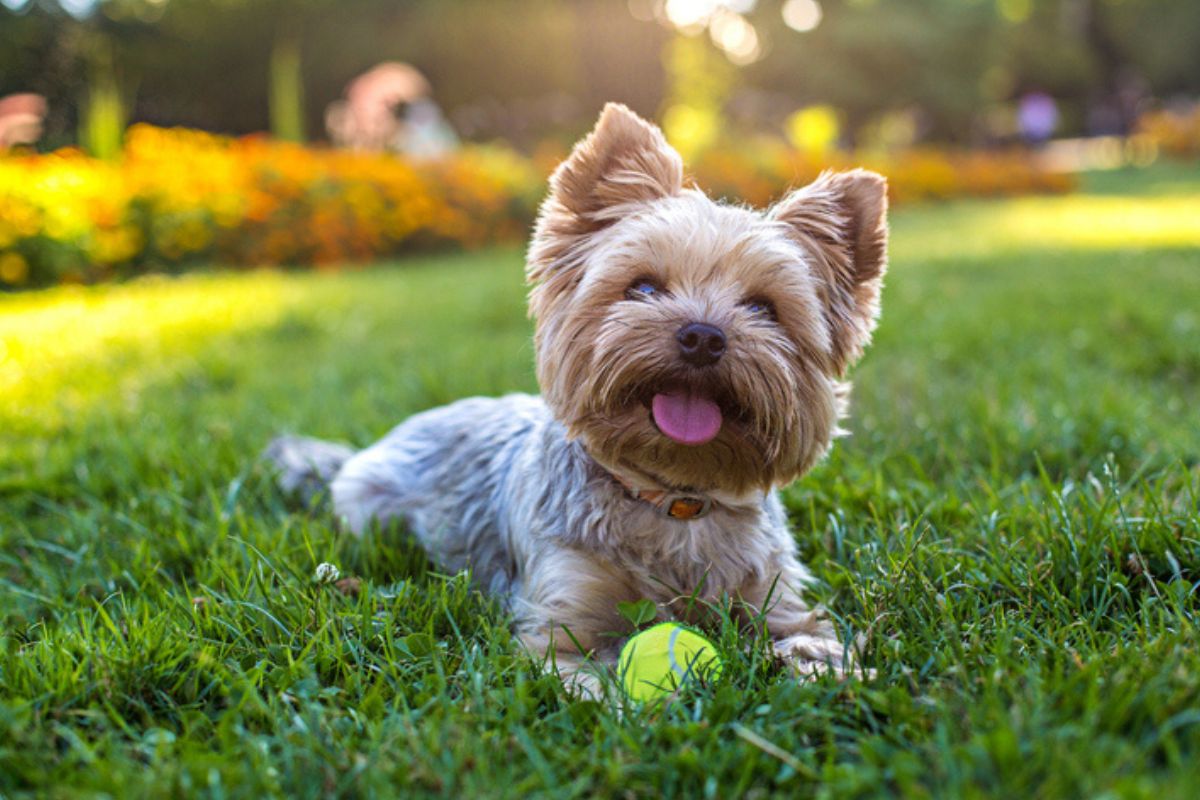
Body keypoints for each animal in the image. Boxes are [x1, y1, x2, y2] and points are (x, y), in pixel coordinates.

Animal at [267, 104, 888, 695]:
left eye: (763, 308)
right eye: (643, 287)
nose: (703, 336)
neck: (674, 500)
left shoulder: (775, 596)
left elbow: (808, 636)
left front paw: (829, 673)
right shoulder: (561, 621)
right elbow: (591, 678)